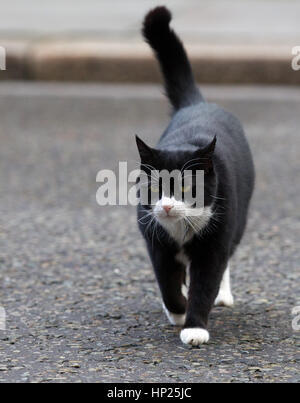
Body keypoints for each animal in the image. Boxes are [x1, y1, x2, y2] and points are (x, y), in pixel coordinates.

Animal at [137, 6, 255, 348]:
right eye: (155, 188)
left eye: (188, 186)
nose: (166, 206)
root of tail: (198, 104)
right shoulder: (156, 241)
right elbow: (167, 281)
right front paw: (176, 310)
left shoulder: (214, 243)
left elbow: (206, 283)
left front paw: (195, 328)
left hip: (237, 219)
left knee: (227, 258)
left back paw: (222, 296)